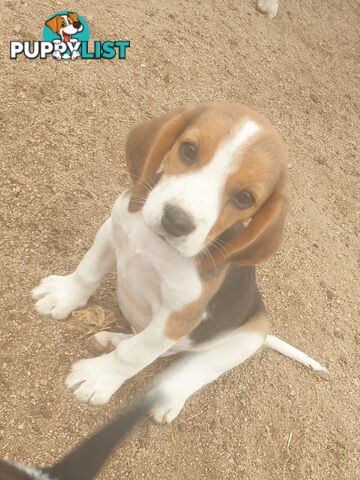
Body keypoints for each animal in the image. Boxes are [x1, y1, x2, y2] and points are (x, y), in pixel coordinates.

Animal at [32, 103, 326, 422]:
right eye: (188, 150)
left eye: (245, 198)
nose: (176, 221)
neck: (158, 246)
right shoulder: (112, 229)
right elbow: (88, 271)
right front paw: (62, 296)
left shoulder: (177, 318)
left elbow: (135, 353)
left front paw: (98, 377)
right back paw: (113, 339)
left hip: (244, 339)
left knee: (193, 370)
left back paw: (167, 396)